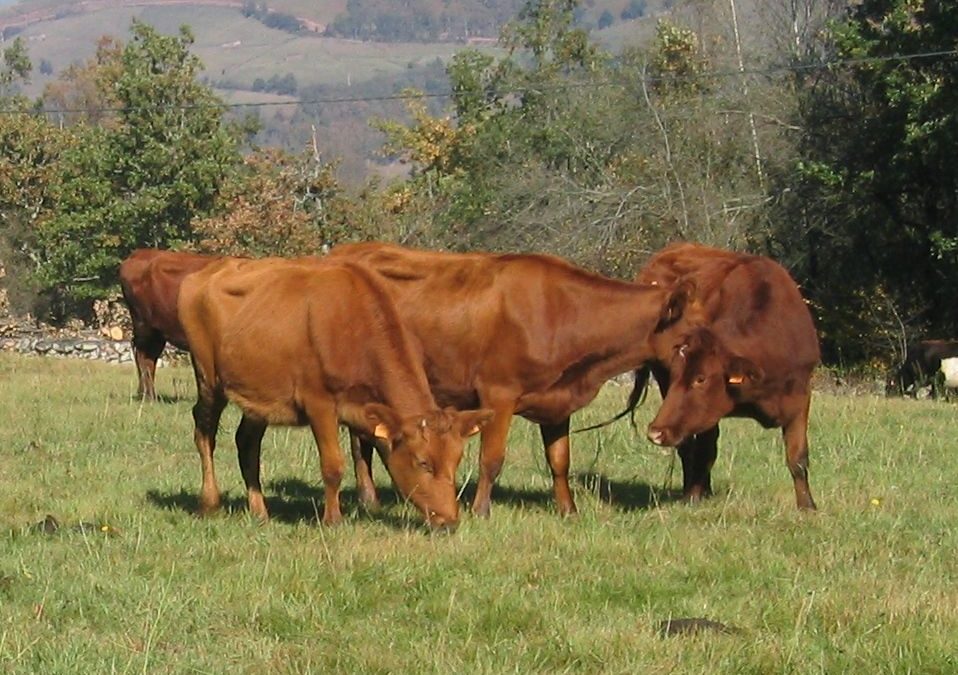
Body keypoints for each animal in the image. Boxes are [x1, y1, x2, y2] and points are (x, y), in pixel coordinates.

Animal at [119, 250, 220, 402]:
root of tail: (138, 253)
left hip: (158, 332)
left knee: (150, 357)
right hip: (144, 326)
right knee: (143, 356)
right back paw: (148, 396)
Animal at [177, 256, 496, 532]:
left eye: (456, 461)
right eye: (423, 463)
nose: (449, 520)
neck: (352, 326)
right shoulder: (319, 403)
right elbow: (333, 465)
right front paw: (332, 520)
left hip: (258, 395)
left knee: (247, 442)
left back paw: (259, 511)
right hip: (208, 378)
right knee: (204, 432)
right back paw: (209, 503)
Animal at [326, 242, 692, 516]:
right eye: (688, 338)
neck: (563, 311)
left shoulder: (557, 402)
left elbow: (559, 460)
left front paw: (568, 510)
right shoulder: (498, 394)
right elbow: (491, 459)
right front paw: (481, 510)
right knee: (362, 442)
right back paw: (370, 499)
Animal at [632, 243, 824, 512]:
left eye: (700, 379)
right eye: (677, 373)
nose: (655, 432)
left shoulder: (800, 398)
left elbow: (798, 457)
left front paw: (807, 506)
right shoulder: (706, 411)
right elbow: (704, 451)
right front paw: (693, 497)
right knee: (689, 448)